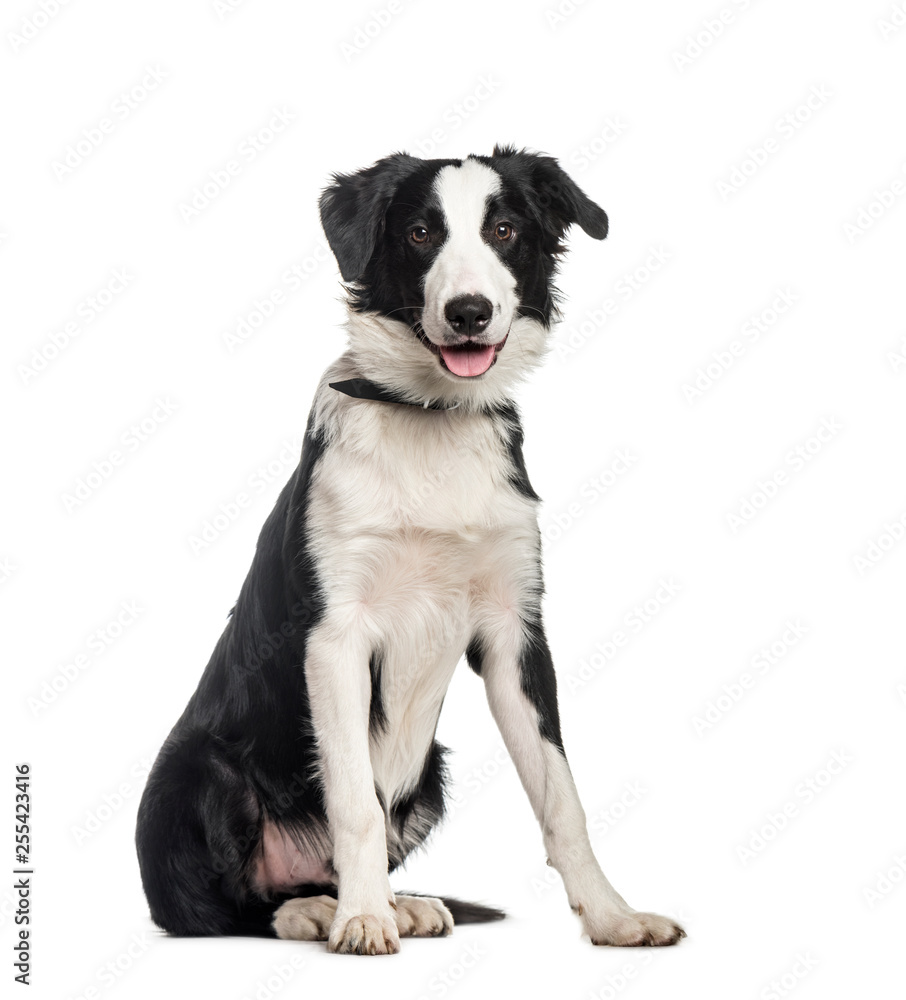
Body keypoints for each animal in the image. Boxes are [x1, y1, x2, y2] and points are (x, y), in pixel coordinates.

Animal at [136, 143, 684, 952]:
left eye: (505, 231)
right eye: (421, 233)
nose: (468, 313)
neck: (432, 416)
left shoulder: (516, 632)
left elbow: (562, 797)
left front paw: (613, 916)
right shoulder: (334, 636)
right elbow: (355, 803)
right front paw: (363, 919)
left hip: (432, 772)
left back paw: (398, 902)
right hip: (200, 773)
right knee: (220, 910)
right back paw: (319, 910)